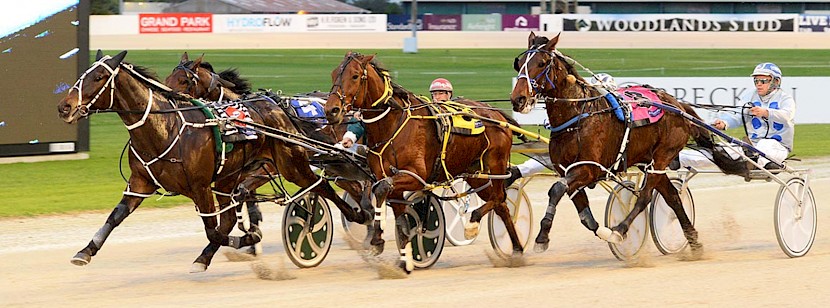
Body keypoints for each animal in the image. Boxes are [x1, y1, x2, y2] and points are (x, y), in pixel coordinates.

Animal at [58, 50, 370, 272]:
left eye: (99, 77)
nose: (65, 107)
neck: (166, 128)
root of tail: (277, 109)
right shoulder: (141, 183)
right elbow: (114, 217)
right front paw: (85, 252)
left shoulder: (202, 186)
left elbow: (215, 230)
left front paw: (248, 239)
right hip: (231, 177)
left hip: (292, 164)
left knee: (325, 187)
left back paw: (360, 217)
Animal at [324, 53, 528, 272]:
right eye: (333, 74)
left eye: (354, 76)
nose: (331, 110)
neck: (392, 124)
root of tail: (495, 112)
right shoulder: (388, 178)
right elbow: (394, 210)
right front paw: (404, 259)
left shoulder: (416, 176)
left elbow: (381, 189)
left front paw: (378, 238)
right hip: (476, 173)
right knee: (501, 205)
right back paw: (517, 250)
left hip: (496, 164)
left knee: (499, 196)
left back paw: (473, 223)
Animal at [512, 32, 736, 256]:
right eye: (519, 64)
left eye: (541, 63)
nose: (518, 99)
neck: (577, 116)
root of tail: (677, 104)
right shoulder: (566, 170)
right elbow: (585, 216)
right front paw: (602, 231)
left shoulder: (589, 169)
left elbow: (556, 189)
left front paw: (542, 237)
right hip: (649, 161)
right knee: (673, 197)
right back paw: (694, 242)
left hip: (663, 155)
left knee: (645, 197)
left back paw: (620, 229)